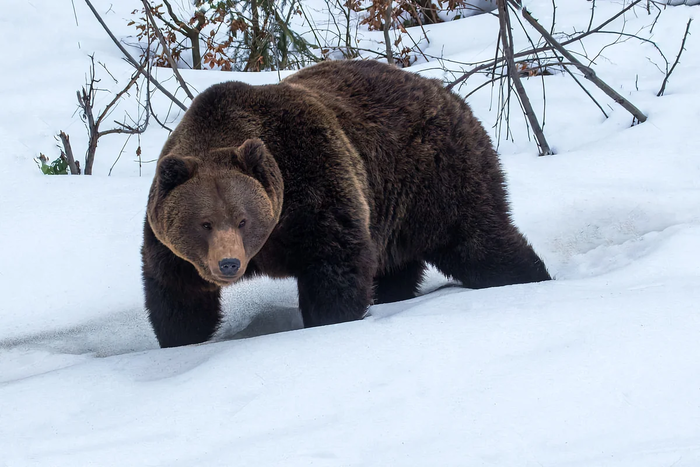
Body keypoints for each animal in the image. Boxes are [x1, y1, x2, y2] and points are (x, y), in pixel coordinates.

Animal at [141, 59, 548, 348]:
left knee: (478, 241)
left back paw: (533, 276)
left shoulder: (314, 183)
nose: (229, 263)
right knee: (397, 266)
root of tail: (447, 92)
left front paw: (329, 321)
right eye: (204, 223)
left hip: (436, 178)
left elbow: (335, 264)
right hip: (393, 211)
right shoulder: (170, 246)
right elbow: (176, 294)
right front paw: (181, 340)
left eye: (243, 220)